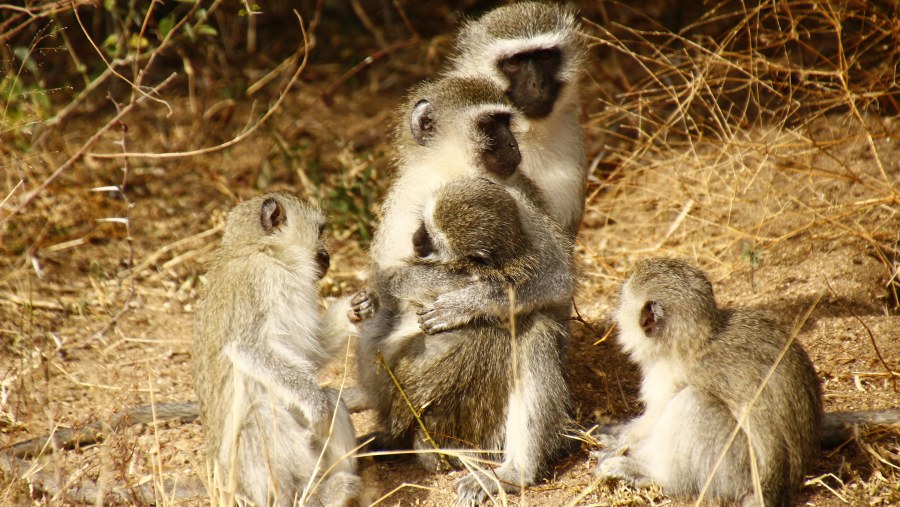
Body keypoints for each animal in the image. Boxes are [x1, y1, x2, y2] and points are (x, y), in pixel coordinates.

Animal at [195, 192, 360, 506]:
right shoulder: (261, 281)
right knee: (260, 416)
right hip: (242, 476)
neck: (261, 250)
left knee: (333, 398)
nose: (327, 256)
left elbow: (311, 354)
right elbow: (247, 348)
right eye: (319, 232)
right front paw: (315, 405)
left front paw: (354, 310)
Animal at [350, 178, 568, 504]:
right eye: (423, 225)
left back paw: (514, 473)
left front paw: (464, 304)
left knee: (536, 330)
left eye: (430, 238)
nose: (416, 239)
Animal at [596, 260, 828, 506]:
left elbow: (652, 419)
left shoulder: (666, 374)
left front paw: (618, 442)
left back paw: (652, 474)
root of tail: (773, 488)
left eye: (622, 299)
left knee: (692, 401)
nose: (614, 312)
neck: (694, 339)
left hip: (733, 470)